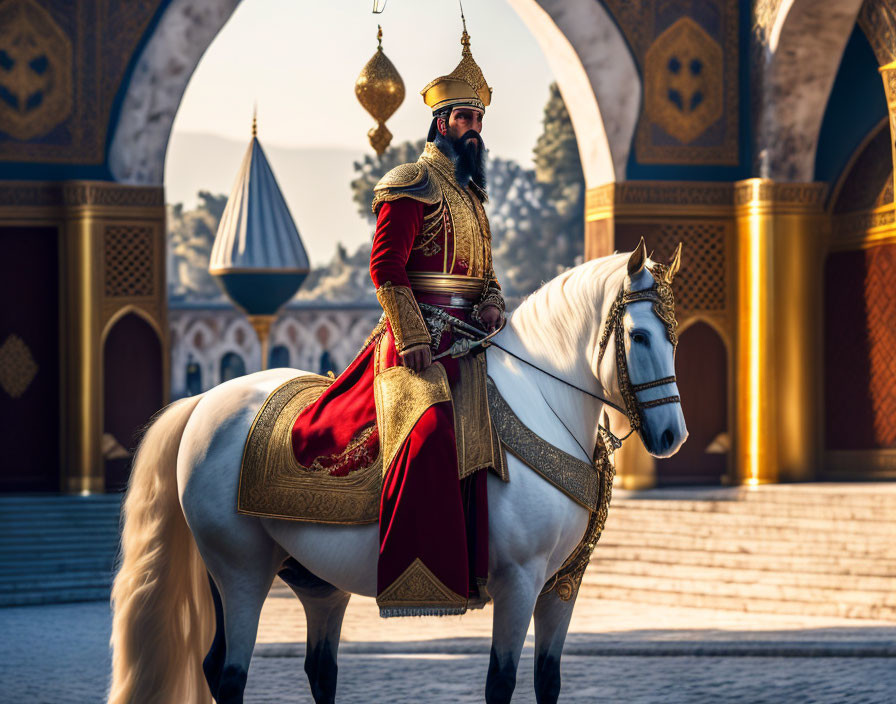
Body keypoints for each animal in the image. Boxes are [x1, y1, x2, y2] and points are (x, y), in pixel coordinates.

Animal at [110, 243, 688, 704]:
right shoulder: (519, 580)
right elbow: (500, 683)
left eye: (675, 335)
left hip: (308, 579)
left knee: (308, 668)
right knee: (231, 675)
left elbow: (549, 681)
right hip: (239, 567)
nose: (671, 436)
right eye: (638, 336)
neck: (542, 403)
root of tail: (203, 400)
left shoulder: (562, 585)